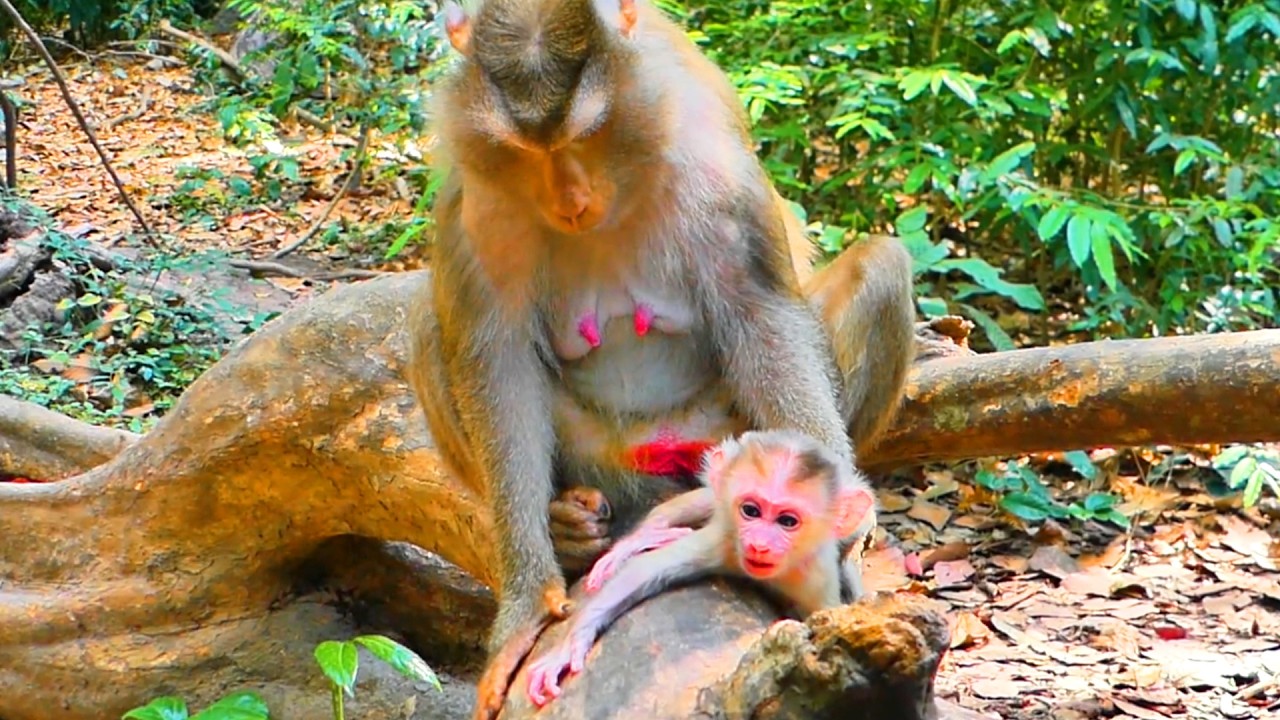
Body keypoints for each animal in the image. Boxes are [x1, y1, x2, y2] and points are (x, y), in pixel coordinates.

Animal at [524, 429, 878, 707]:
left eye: (788, 521)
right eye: (751, 511)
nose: (759, 544)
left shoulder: (814, 577)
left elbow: (821, 614)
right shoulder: (725, 540)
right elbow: (643, 572)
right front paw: (568, 648)